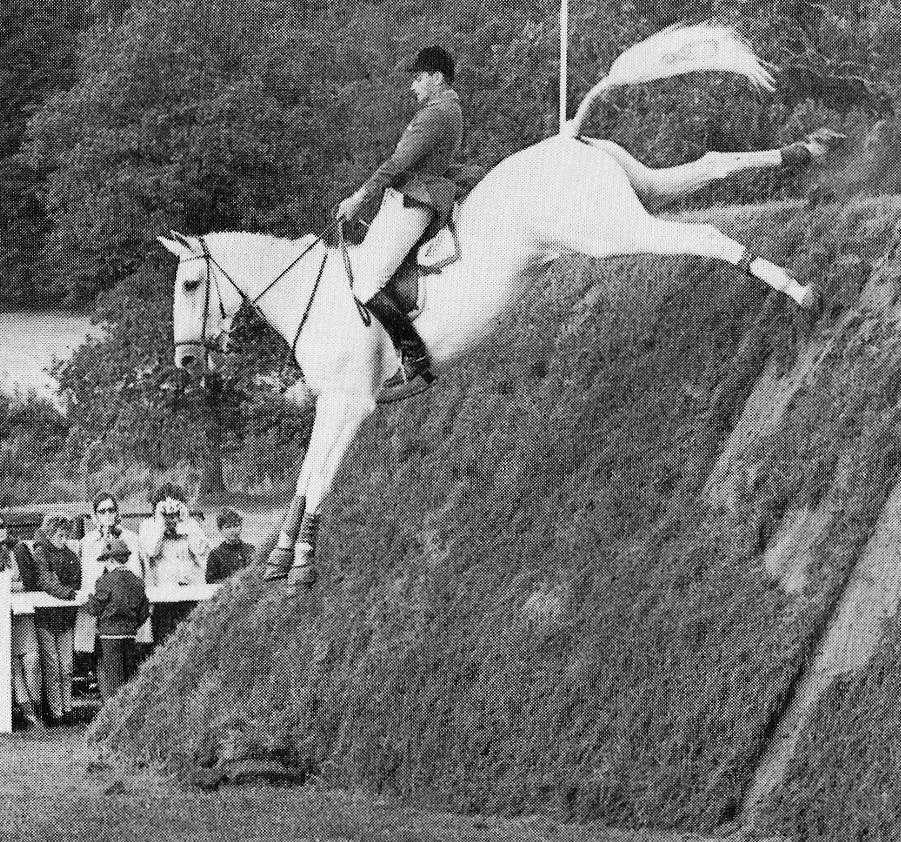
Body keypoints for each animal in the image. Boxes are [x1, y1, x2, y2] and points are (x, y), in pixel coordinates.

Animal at [160, 26, 836, 592]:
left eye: (191, 285)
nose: (185, 360)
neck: (314, 300)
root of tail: (567, 135)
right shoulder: (335, 403)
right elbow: (304, 477)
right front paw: (280, 557)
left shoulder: (349, 403)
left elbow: (316, 476)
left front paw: (298, 562)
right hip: (635, 191)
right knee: (709, 168)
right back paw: (807, 152)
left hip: (611, 230)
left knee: (708, 237)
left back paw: (795, 286)